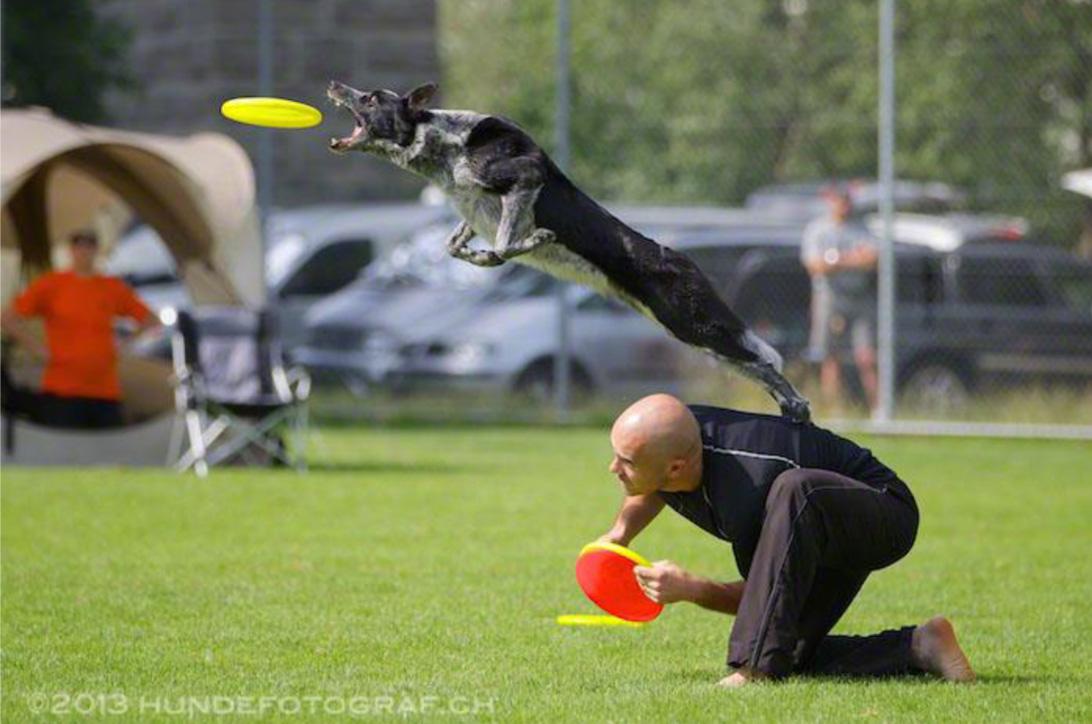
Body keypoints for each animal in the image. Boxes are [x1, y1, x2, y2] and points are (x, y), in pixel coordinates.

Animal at [323, 81, 812, 421]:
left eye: (371, 98)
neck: (443, 144)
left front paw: (531, 242)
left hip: (698, 322)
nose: (333, 85)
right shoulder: (474, 210)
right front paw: (479, 256)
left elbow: (508, 242)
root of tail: (680, 257)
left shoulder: (525, 178)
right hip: (687, 333)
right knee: (756, 366)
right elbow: (457, 246)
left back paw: (799, 406)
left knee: (765, 360)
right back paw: (792, 410)